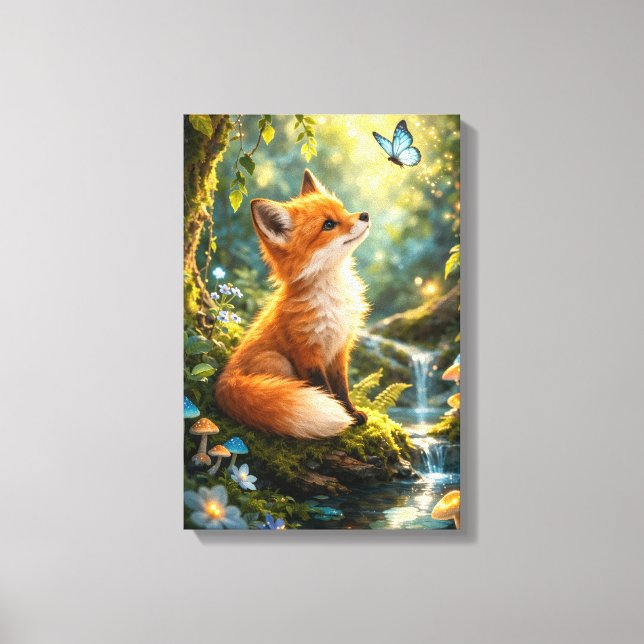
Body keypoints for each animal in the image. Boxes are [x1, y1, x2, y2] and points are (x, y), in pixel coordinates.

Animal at [215, 169, 371, 439]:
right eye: (328, 225)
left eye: (343, 209)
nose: (365, 215)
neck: (332, 297)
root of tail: (223, 383)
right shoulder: (306, 351)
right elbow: (324, 389)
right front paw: (341, 417)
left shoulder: (340, 349)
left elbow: (342, 387)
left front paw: (351, 412)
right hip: (278, 362)